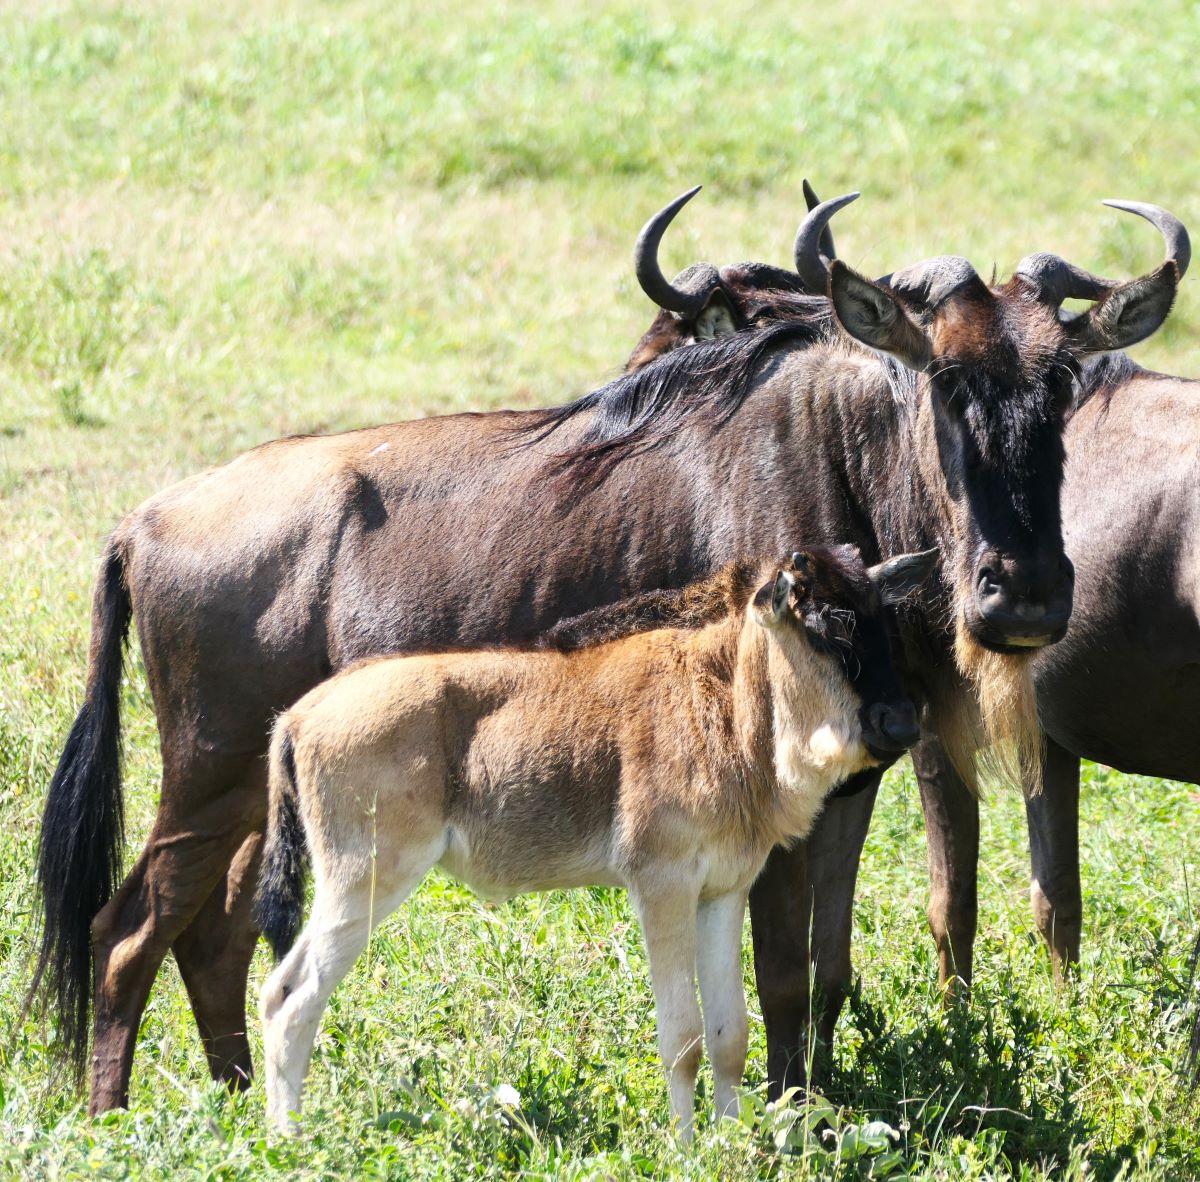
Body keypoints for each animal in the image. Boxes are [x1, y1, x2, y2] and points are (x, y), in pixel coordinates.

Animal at [255, 544, 936, 1132]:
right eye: (823, 624)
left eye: (881, 620)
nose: (901, 723)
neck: (724, 698)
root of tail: (298, 715)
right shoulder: (661, 885)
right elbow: (683, 1037)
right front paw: (687, 1147)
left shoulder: (722, 893)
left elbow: (730, 1035)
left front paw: (729, 1141)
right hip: (366, 880)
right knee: (293, 999)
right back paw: (292, 1140)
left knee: (278, 992)